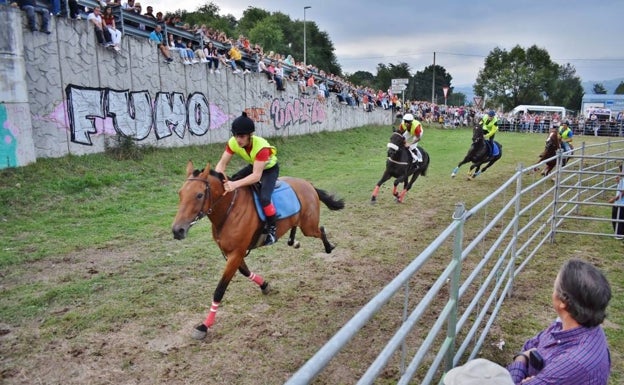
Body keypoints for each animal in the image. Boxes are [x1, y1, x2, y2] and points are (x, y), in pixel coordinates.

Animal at [173, 160, 344, 338]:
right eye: (180, 194)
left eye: (199, 195)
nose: (177, 230)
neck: (229, 211)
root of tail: (307, 184)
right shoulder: (231, 253)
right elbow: (245, 271)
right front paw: (265, 285)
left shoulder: (236, 253)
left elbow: (220, 289)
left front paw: (204, 326)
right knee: (297, 229)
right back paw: (293, 241)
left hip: (309, 227)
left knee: (321, 230)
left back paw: (328, 247)